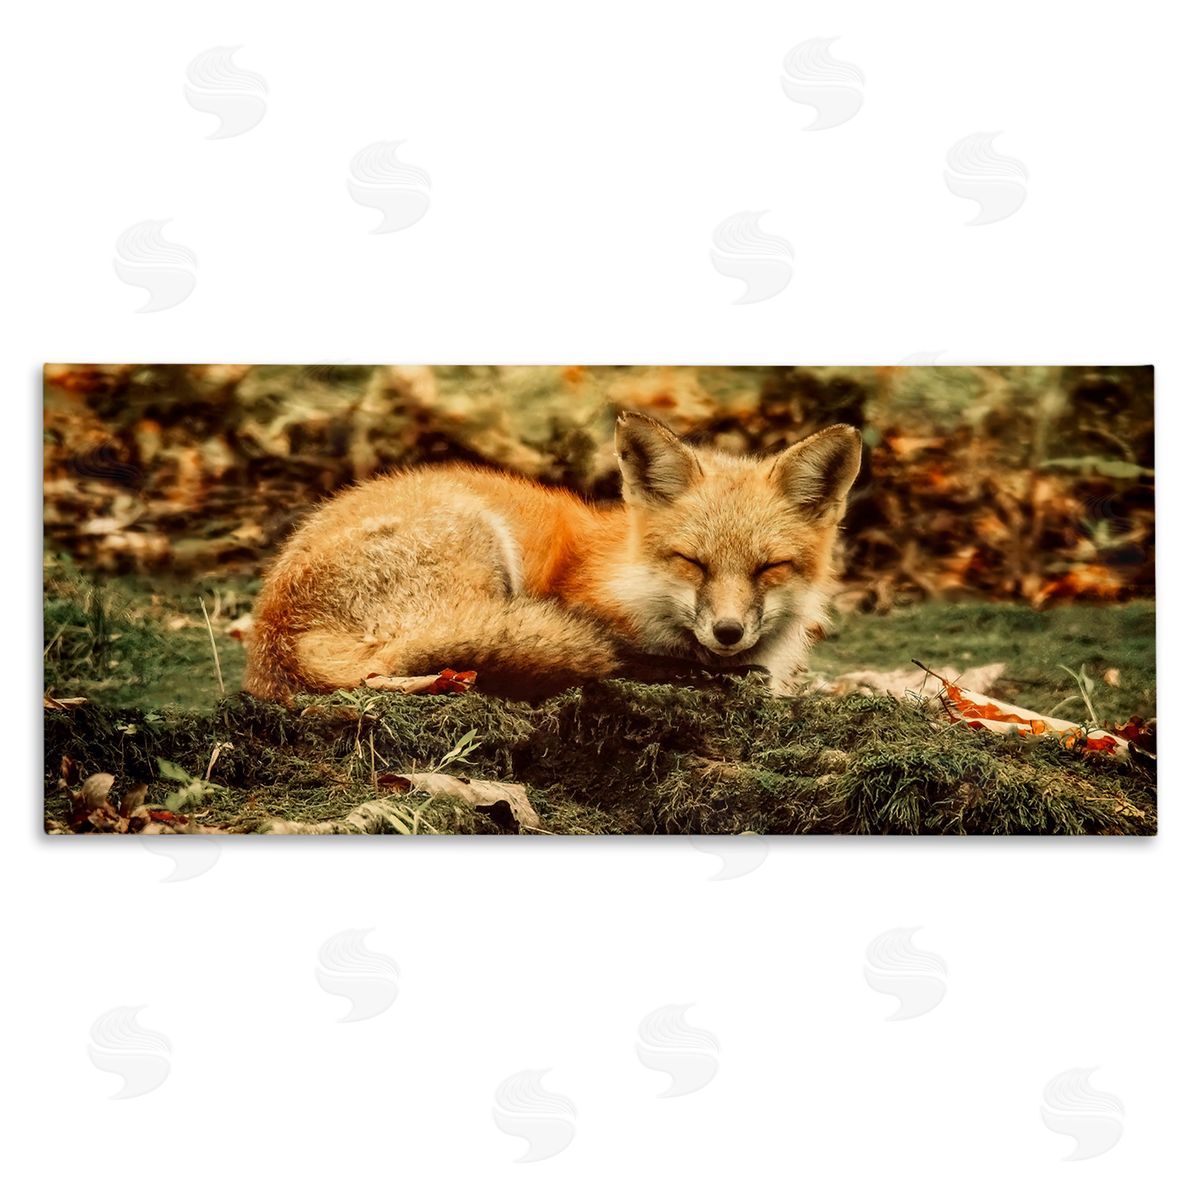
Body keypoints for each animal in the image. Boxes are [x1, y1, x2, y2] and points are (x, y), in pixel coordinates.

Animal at [243, 413, 861, 702]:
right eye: (692, 561)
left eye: (769, 567)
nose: (728, 632)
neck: (632, 583)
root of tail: (274, 634)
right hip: (478, 541)